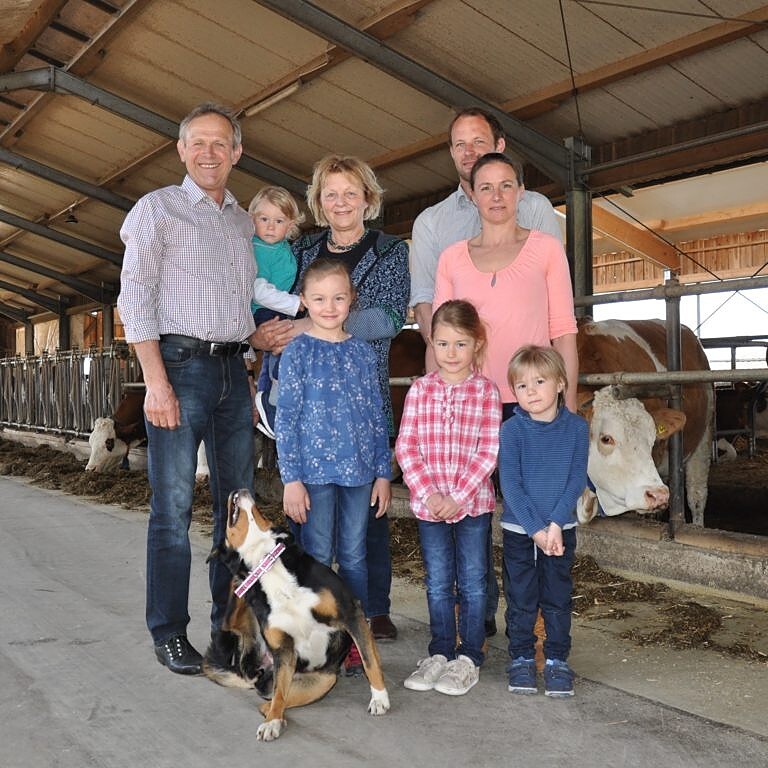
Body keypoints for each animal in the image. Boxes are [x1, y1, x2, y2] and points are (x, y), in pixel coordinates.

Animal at [204, 488, 390, 740]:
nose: (238, 489)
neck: (267, 563)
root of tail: (257, 672)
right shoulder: (283, 649)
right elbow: (280, 695)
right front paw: (272, 723)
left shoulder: (351, 611)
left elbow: (370, 661)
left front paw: (379, 697)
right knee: (271, 701)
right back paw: (275, 719)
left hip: (324, 679)